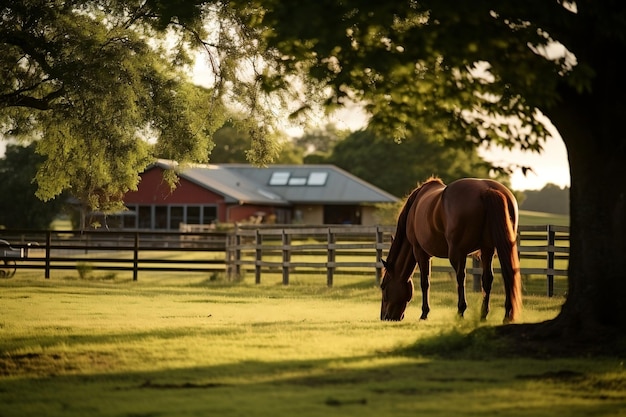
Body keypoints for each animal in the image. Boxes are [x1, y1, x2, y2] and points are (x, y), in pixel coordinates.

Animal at [380, 176, 520, 322]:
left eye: (383, 286)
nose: (384, 317)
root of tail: (487, 190)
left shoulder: (420, 252)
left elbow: (425, 282)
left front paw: (424, 313)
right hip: (489, 249)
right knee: (494, 277)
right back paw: (493, 314)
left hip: (458, 254)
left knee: (461, 277)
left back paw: (461, 311)